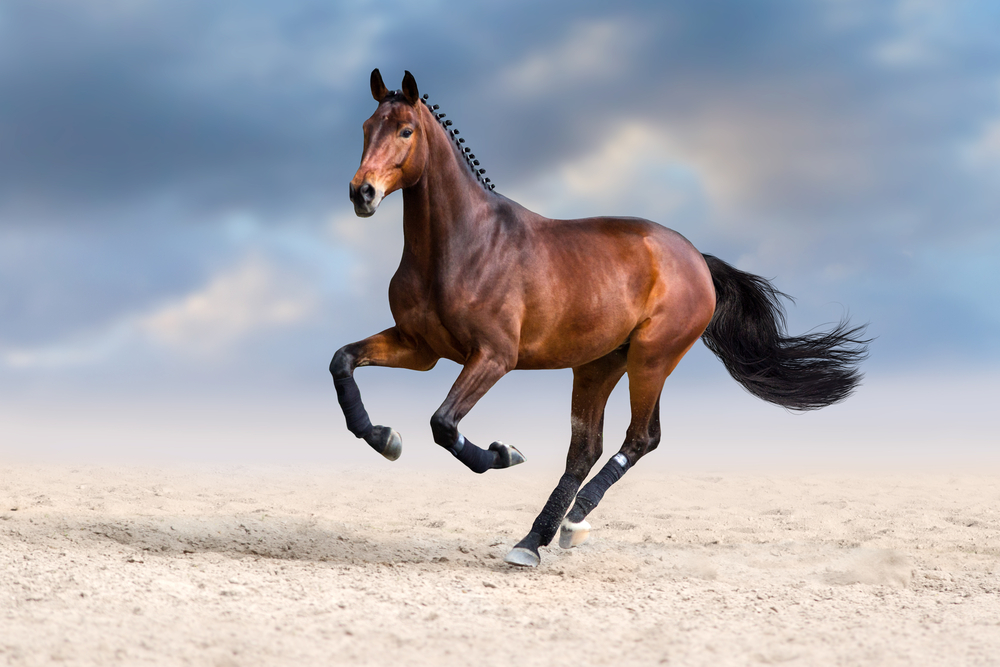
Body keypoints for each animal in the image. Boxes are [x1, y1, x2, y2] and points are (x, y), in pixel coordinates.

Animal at [333, 69, 869, 568]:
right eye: (366, 126)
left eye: (405, 130)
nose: (362, 193)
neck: (465, 244)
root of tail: (697, 258)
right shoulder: (419, 348)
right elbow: (344, 361)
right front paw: (383, 438)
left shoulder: (493, 357)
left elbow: (443, 423)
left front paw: (503, 453)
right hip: (598, 365)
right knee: (586, 448)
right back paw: (534, 540)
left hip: (651, 360)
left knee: (641, 438)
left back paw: (570, 522)